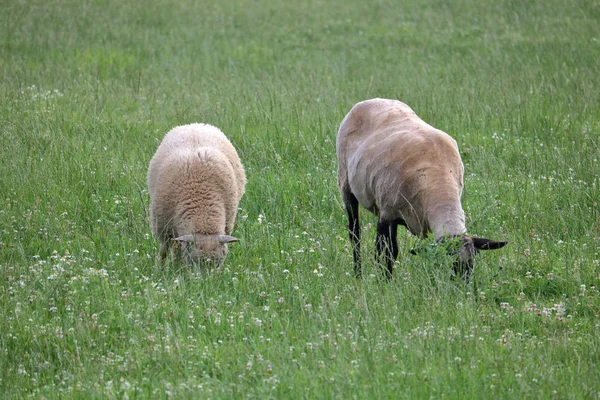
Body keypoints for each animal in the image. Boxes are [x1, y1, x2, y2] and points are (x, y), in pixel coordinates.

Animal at [148, 123, 246, 268]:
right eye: (194, 260)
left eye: (218, 262)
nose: (207, 278)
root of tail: (194, 124)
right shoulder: (163, 228)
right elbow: (165, 251)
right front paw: (164, 268)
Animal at [336, 99, 508, 278]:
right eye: (449, 261)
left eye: (472, 262)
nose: (463, 284)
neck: (438, 185)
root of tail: (370, 100)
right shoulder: (386, 213)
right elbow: (383, 251)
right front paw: (383, 281)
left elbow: (391, 251)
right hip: (345, 184)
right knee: (355, 234)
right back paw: (358, 274)